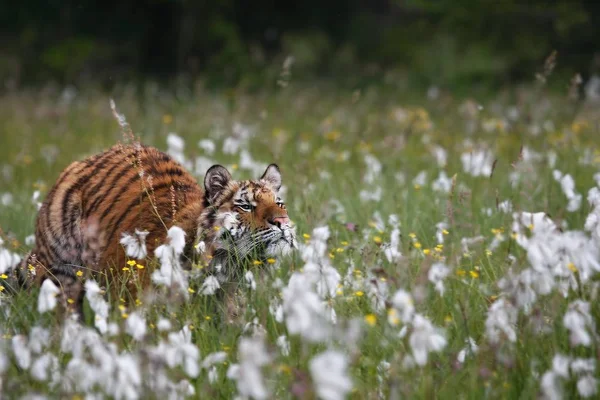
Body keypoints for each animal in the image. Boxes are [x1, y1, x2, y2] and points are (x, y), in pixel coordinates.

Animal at [18, 142, 298, 314]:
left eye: (279, 203)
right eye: (246, 206)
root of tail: (81, 162)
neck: (230, 271)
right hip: (61, 270)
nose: (283, 222)